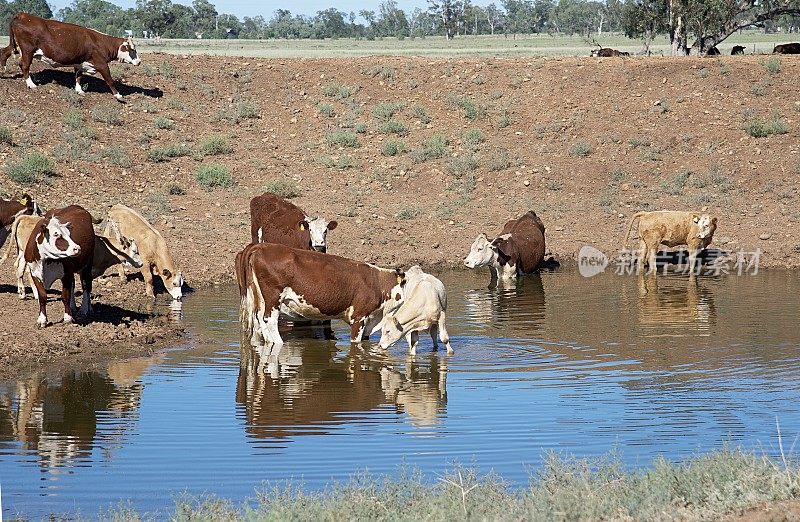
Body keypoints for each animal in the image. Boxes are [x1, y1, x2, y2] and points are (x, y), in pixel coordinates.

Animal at [0, 12, 141, 101]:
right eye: (132, 49)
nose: (139, 62)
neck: (100, 42)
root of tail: (23, 15)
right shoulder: (102, 64)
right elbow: (110, 80)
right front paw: (118, 96)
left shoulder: (80, 63)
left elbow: (78, 77)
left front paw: (79, 90)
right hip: (27, 50)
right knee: (24, 65)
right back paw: (31, 84)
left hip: (16, 46)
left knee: (4, 52)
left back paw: (2, 71)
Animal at [234, 242, 404, 348]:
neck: (377, 282)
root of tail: (261, 246)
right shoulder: (359, 317)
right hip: (274, 296)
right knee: (269, 320)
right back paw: (279, 343)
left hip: (259, 298)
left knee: (259, 320)